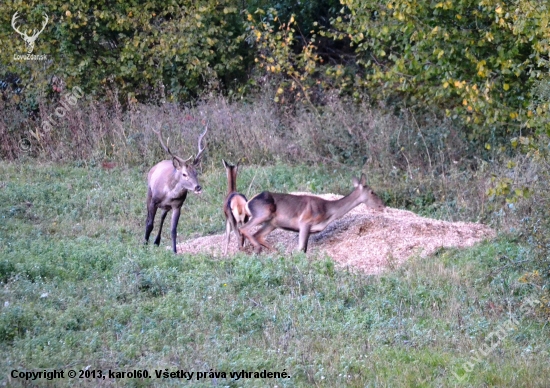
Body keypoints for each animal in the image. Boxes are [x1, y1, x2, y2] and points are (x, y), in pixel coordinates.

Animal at [239, 174, 386, 253]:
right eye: (372, 192)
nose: (383, 205)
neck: (328, 212)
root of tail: (247, 203)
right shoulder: (304, 222)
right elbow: (300, 249)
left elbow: (304, 249)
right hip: (262, 213)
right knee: (244, 228)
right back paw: (258, 248)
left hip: (271, 223)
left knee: (257, 234)